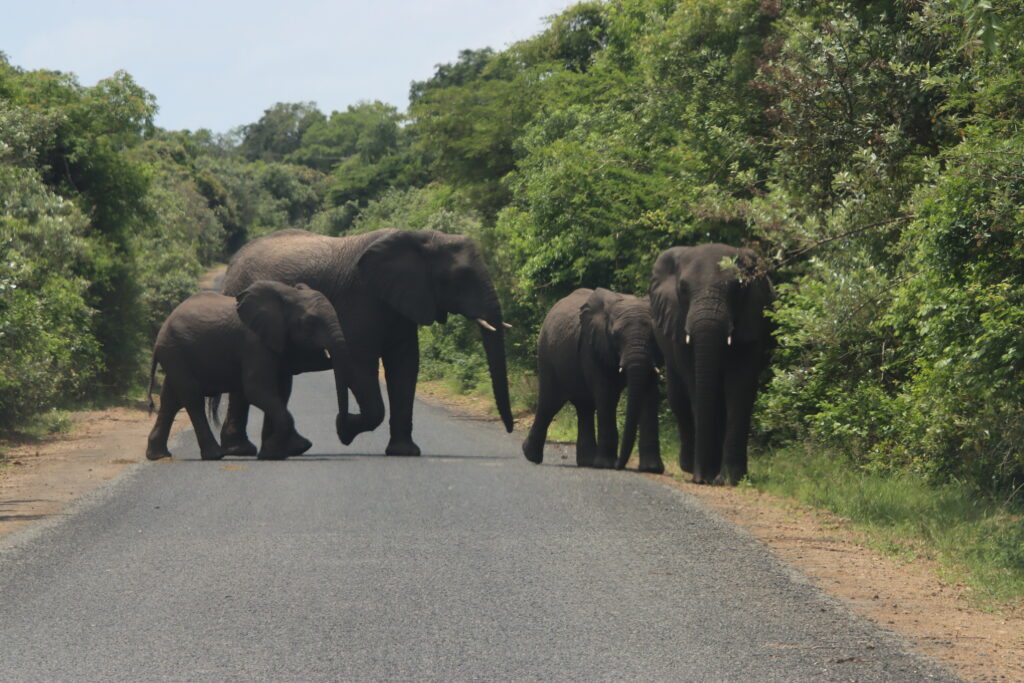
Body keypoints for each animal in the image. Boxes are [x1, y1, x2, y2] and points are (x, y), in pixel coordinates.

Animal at [146, 280, 356, 461]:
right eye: (310, 323)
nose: (343, 431)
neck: (288, 295)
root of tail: (162, 329)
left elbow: (281, 391)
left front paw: (281, 451)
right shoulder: (254, 343)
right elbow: (257, 390)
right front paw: (272, 453)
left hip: (174, 354)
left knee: (171, 400)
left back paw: (157, 455)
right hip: (175, 351)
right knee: (191, 398)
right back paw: (215, 455)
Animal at [218, 228, 513, 457]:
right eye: (461, 276)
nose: (511, 429)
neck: (422, 237)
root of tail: (232, 265)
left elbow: (406, 365)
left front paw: (404, 452)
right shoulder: (361, 299)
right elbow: (360, 363)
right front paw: (345, 430)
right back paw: (242, 451)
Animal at [522, 288, 663, 472]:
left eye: (654, 335)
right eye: (615, 335)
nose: (620, 465)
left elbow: (650, 396)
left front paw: (652, 469)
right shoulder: (593, 348)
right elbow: (607, 396)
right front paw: (606, 465)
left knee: (584, 407)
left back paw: (587, 462)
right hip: (547, 354)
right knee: (549, 403)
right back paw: (530, 455)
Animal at [649, 243, 774, 485]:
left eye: (738, 288)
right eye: (683, 288)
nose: (700, 479)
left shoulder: (752, 318)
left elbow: (740, 387)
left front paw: (729, 479)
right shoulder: (678, 321)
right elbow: (696, 386)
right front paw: (705, 476)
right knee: (678, 398)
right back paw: (689, 466)